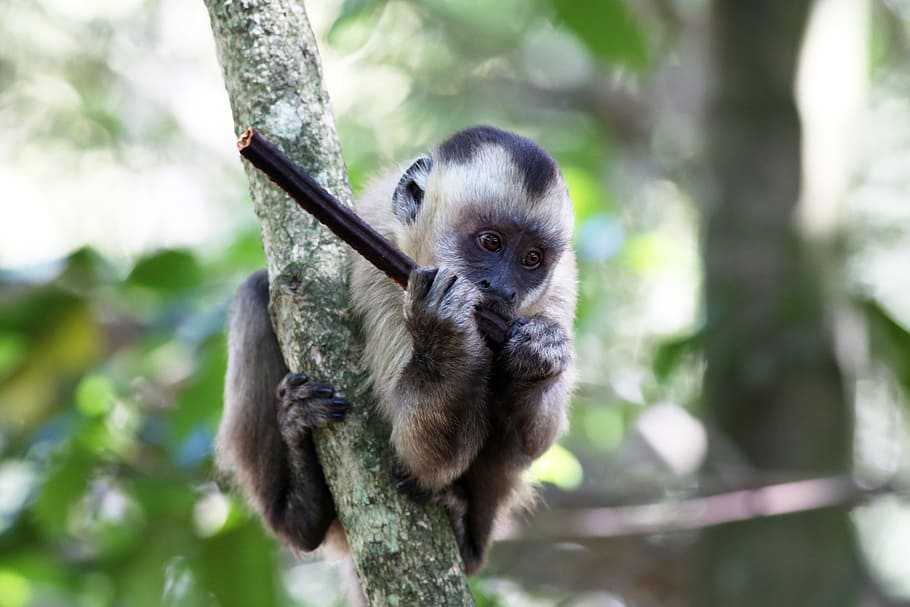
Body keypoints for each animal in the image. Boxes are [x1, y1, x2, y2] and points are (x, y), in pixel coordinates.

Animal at [216, 125, 577, 574]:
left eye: (531, 259)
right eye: (491, 242)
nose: (504, 288)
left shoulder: (559, 290)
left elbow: (533, 441)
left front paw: (539, 354)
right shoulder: (387, 279)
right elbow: (415, 455)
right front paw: (445, 332)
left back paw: (468, 539)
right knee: (254, 292)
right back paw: (299, 509)